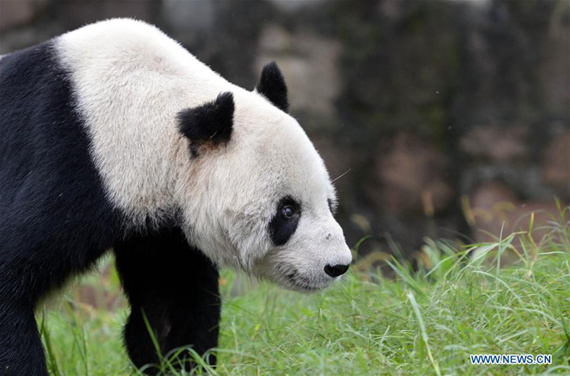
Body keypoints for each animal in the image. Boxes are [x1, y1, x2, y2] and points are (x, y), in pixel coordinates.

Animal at [0, 19, 350, 374]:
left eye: (329, 203)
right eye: (288, 211)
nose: (337, 265)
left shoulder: (160, 227)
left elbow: (172, 304)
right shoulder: (72, 167)